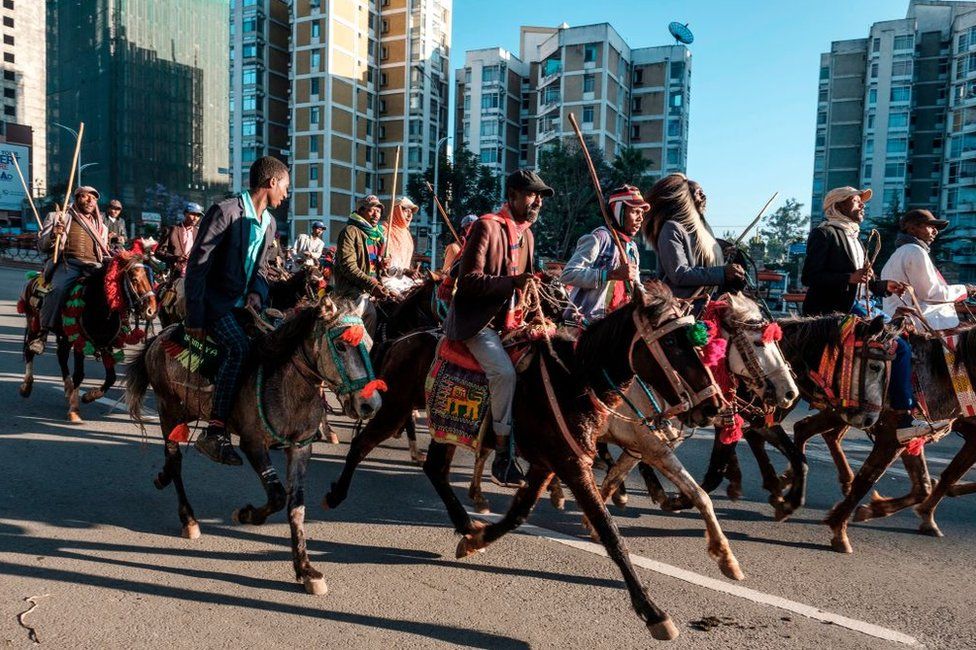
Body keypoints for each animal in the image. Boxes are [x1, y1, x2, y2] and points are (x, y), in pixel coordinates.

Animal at [19, 251, 158, 422]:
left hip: (66, 337)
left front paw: (88, 396)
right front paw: (74, 409)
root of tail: (36, 277)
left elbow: (111, 377)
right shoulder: (80, 341)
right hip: (34, 323)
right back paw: (27, 386)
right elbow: (79, 374)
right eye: (134, 279)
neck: (98, 305)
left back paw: (68, 389)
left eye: (150, 279)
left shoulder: (106, 344)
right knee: (29, 350)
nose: (152, 310)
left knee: (61, 355)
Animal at [122, 298, 382, 592]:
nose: (370, 405)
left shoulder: (300, 448)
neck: (286, 384)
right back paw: (188, 518)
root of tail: (159, 337)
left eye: (370, 343)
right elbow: (277, 496)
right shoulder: (254, 444)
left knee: (170, 459)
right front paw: (245, 515)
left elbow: (296, 507)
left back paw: (162, 478)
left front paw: (306, 569)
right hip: (168, 410)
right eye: (340, 345)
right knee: (175, 461)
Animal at [326, 284, 724, 636]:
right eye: (670, 341)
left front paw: (477, 540)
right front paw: (652, 611)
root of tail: (402, 340)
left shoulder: (547, 464)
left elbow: (519, 513)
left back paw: (466, 525)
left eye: (695, 341)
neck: (573, 381)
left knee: (435, 469)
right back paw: (335, 493)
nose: (714, 405)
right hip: (395, 408)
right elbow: (610, 532)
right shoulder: (570, 464)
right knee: (362, 443)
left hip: (445, 427)